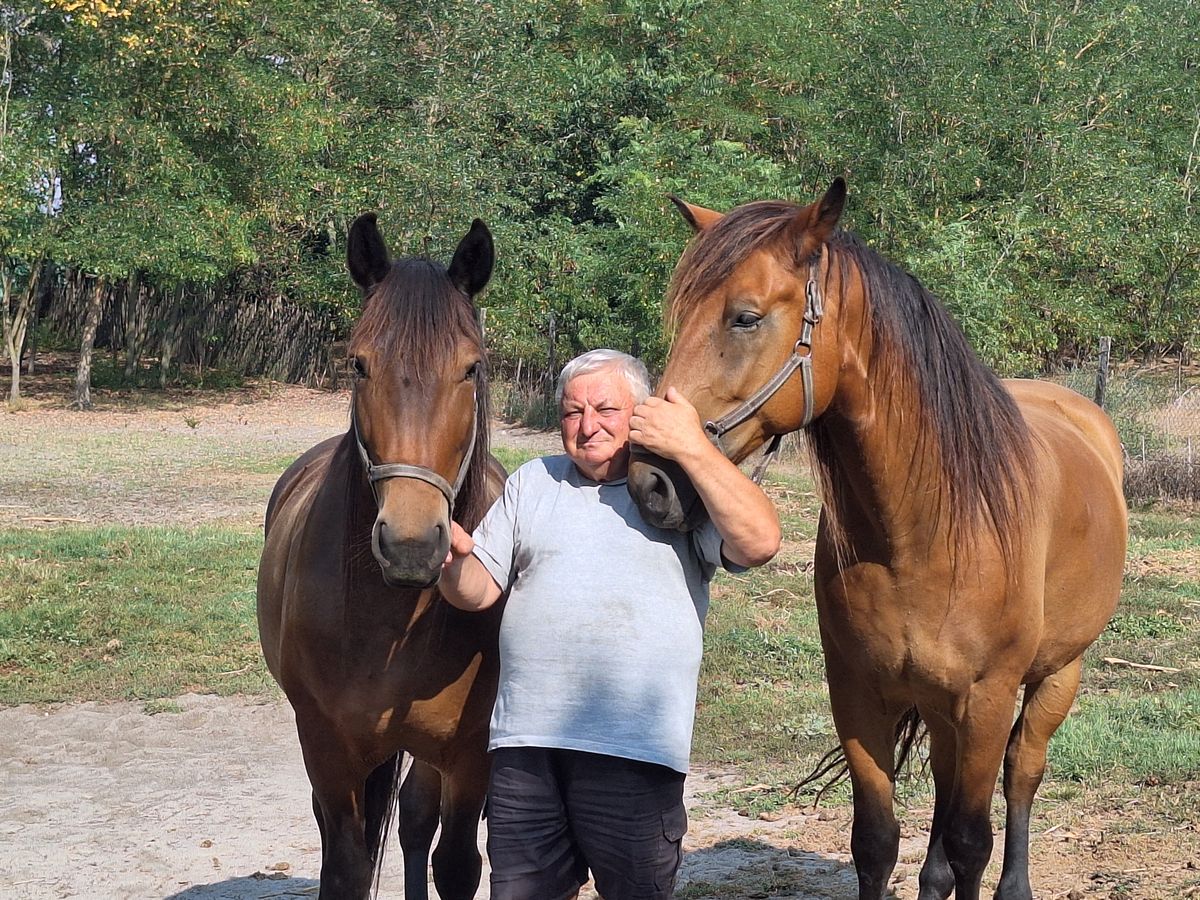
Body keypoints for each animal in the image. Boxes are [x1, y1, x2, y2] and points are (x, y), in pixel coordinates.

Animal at [258, 213, 506, 900]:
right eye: (359, 364)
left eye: (471, 368)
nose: (412, 545)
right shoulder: (328, 749)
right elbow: (344, 866)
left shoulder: (469, 754)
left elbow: (456, 863)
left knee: (417, 823)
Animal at [628, 177, 1123, 900]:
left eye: (744, 317)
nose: (649, 480)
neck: (921, 533)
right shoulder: (857, 691)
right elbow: (877, 841)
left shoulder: (987, 698)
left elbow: (973, 842)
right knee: (946, 789)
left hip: (1057, 675)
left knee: (1022, 774)